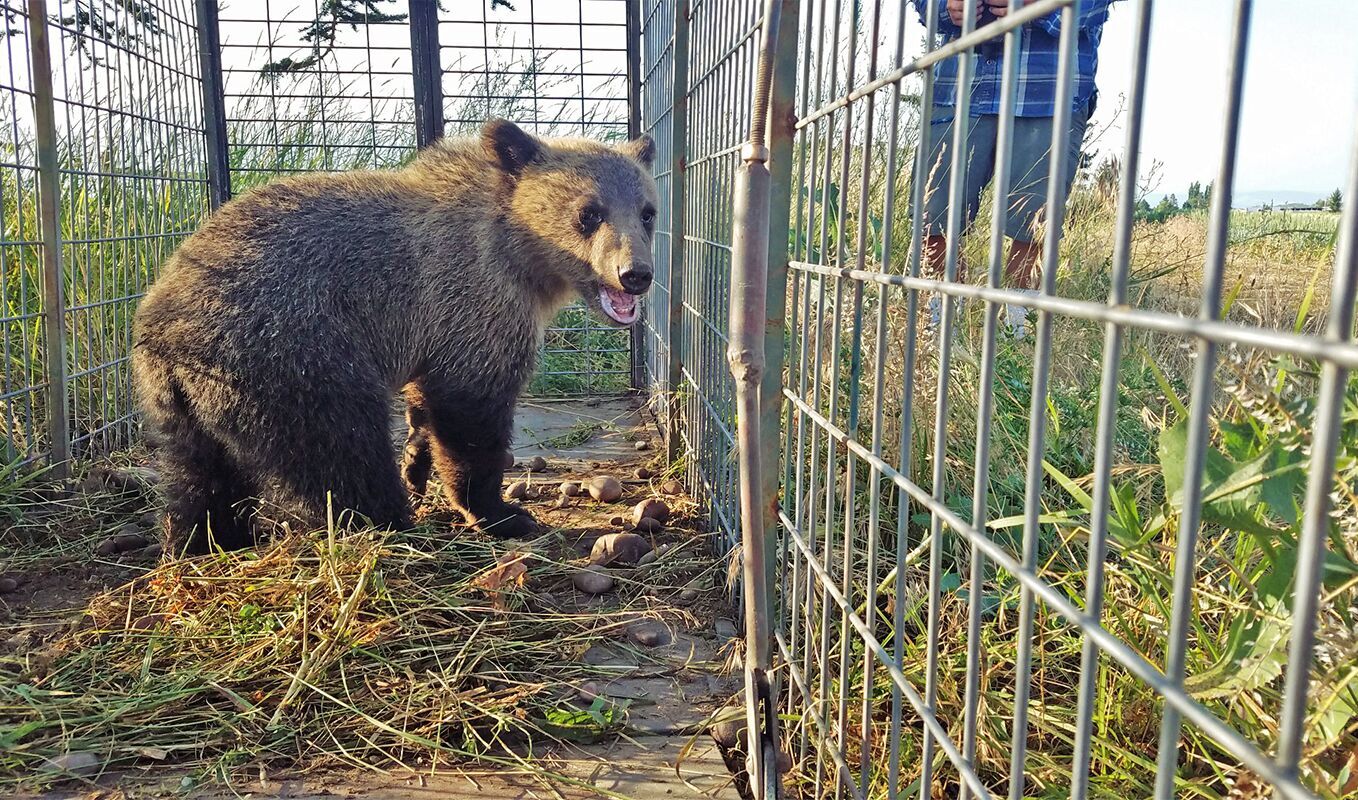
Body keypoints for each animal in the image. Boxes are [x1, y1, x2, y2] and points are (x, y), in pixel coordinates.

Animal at [132, 120, 657, 554]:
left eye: (647, 211)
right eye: (589, 213)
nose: (635, 274)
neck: (522, 254)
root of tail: (161, 323)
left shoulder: (435, 333)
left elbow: (427, 404)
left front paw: (418, 461)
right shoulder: (471, 303)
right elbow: (471, 416)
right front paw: (501, 511)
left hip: (182, 401)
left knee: (199, 477)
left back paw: (203, 541)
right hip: (290, 353)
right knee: (343, 454)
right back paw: (395, 527)